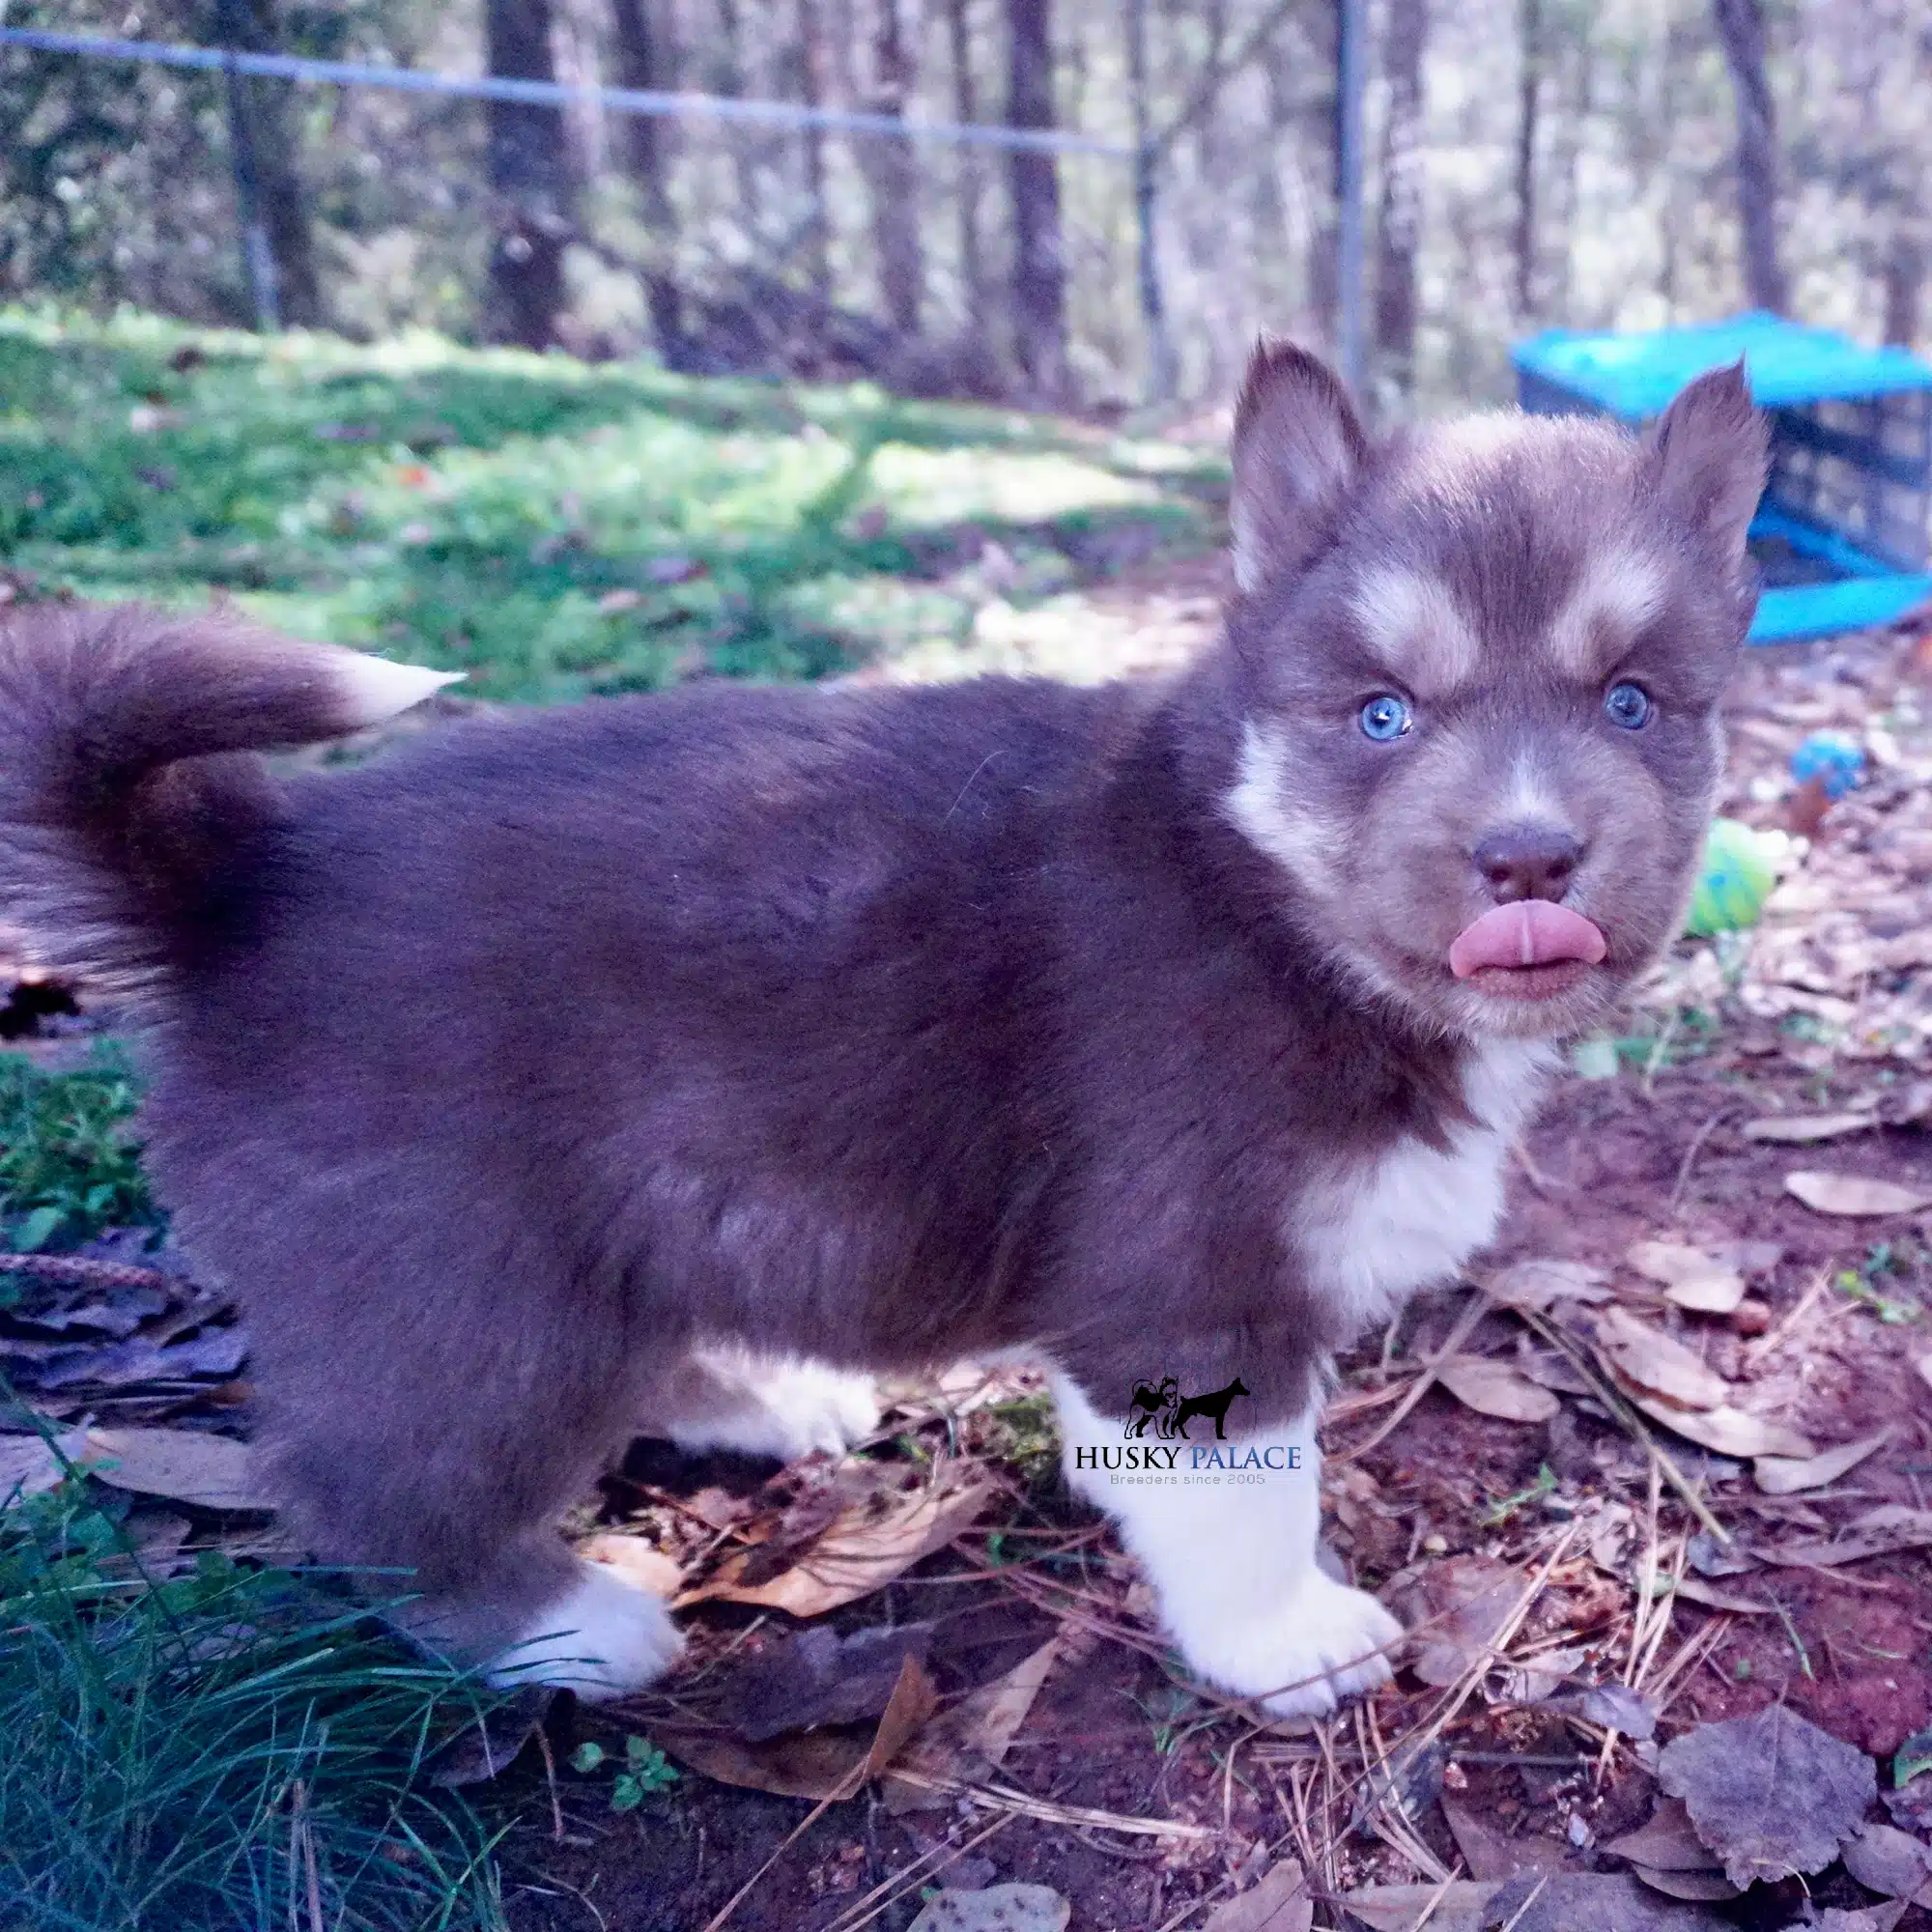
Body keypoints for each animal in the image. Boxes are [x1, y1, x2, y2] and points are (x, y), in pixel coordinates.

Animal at [0, 348, 1770, 1723]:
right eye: (1384, 714)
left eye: (1631, 702)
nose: (1529, 861)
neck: (1274, 898)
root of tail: (240, 883)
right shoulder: (1187, 1280)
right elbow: (1250, 1497)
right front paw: (1286, 1642)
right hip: (462, 1289)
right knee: (383, 1490)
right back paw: (557, 1625)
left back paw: (760, 1405)